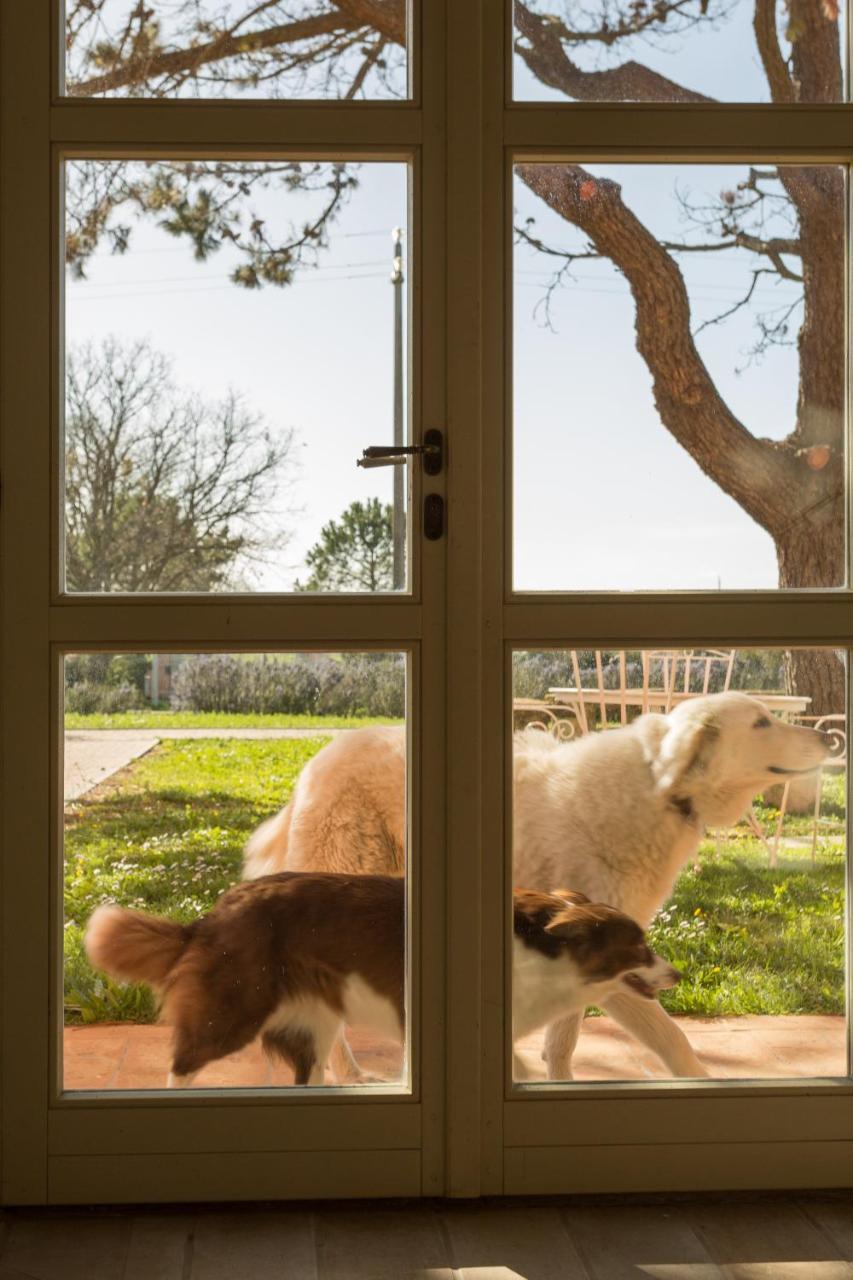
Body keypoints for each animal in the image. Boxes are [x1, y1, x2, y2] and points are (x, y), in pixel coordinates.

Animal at [84, 870, 671, 1090]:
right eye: (640, 947)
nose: (677, 972)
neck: (548, 947)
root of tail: (209, 917)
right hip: (233, 1011)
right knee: (182, 1062)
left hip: (315, 1023)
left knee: (309, 1075)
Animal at [242, 701, 824, 1080]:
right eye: (761, 722)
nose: (828, 740)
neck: (664, 791)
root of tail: (318, 761)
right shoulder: (610, 959)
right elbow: (673, 1040)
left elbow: (563, 1045)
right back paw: (348, 1075)